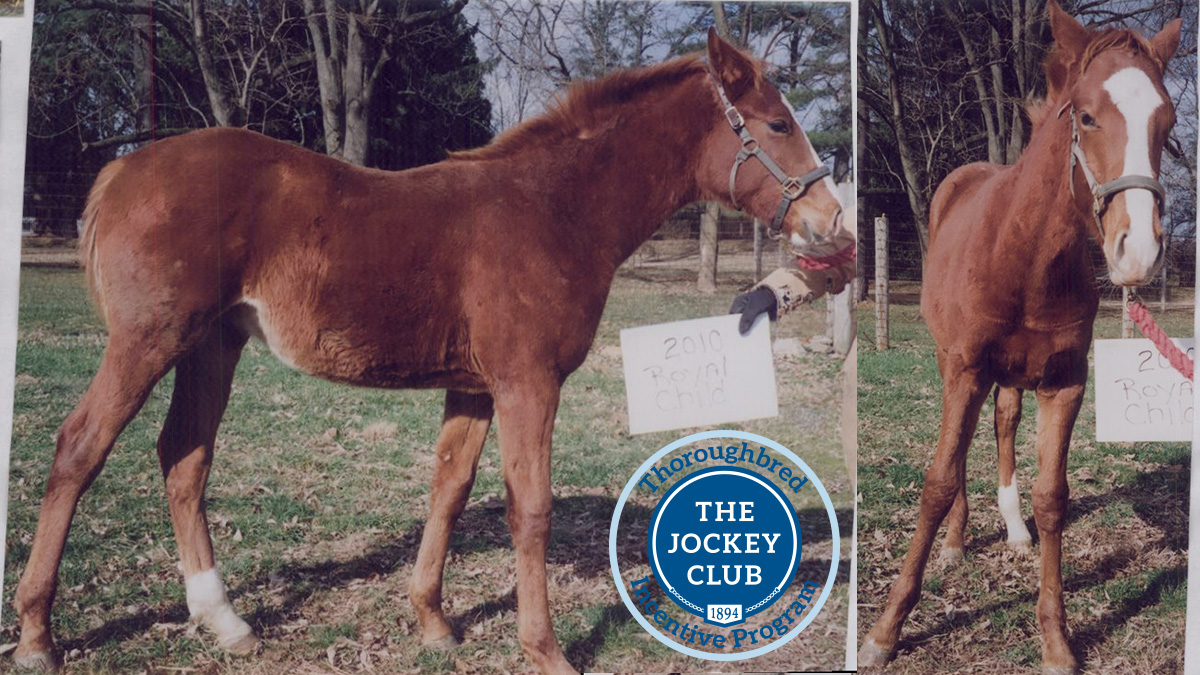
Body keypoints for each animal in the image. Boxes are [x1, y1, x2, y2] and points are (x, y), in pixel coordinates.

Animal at [11, 29, 846, 675]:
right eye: (776, 124)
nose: (830, 223)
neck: (553, 208)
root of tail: (123, 167)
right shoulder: (527, 383)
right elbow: (529, 508)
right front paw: (544, 649)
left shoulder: (474, 385)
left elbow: (449, 486)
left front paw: (434, 622)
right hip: (147, 342)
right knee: (79, 447)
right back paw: (36, 633)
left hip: (212, 346)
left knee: (184, 457)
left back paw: (226, 621)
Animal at [859, 4, 1179, 674]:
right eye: (1086, 116)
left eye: (1167, 121)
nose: (1138, 252)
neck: (1025, 256)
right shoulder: (963, 369)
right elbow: (937, 481)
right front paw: (886, 629)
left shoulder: (1065, 383)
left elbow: (1052, 496)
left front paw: (1055, 637)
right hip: (953, 363)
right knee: (963, 451)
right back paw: (958, 541)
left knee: (1004, 422)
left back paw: (1011, 527)